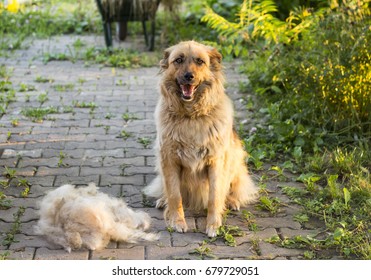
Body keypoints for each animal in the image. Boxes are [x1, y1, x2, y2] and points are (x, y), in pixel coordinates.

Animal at [144, 41, 260, 236]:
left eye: (200, 61)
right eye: (178, 60)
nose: (188, 76)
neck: (191, 116)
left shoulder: (216, 162)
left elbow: (215, 196)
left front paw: (213, 224)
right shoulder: (169, 160)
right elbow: (175, 195)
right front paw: (177, 220)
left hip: (235, 162)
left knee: (233, 188)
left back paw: (232, 201)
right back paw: (162, 200)